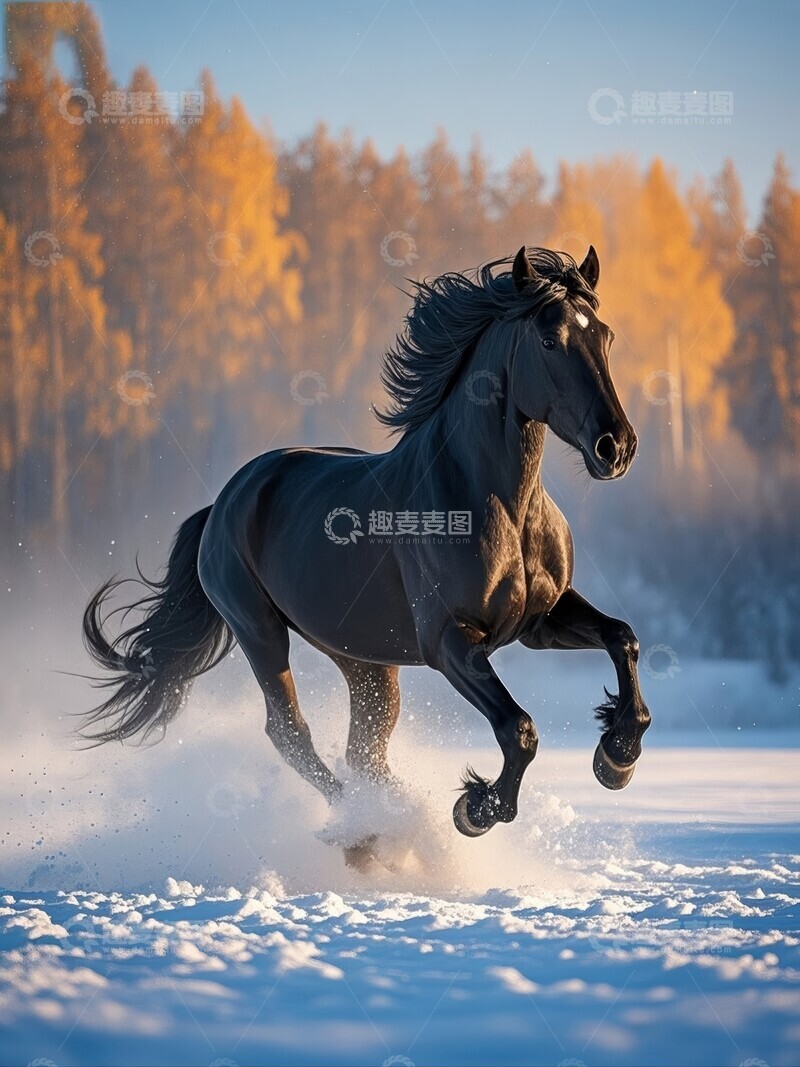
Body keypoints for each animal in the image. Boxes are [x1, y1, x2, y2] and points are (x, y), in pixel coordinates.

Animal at [82, 245, 651, 862]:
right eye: (549, 341)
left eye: (606, 336)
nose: (615, 447)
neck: (495, 504)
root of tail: (224, 502)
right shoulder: (450, 642)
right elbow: (518, 730)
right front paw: (474, 810)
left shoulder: (539, 621)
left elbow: (623, 637)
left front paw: (616, 756)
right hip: (259, 630)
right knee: (292, 734)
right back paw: (367, 832)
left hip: (365, 661)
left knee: (363, 753)